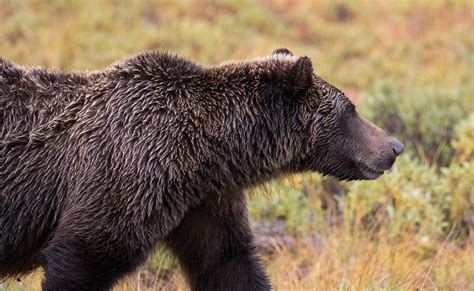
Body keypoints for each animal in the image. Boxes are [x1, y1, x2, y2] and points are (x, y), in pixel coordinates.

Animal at [0, 49, 404, 290]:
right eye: (351, 109)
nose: (394, 147)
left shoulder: (203, 202)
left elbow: (226, 261)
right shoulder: (126, 175)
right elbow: (85, 256)